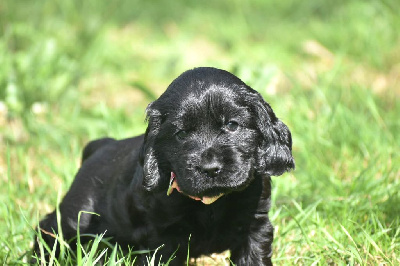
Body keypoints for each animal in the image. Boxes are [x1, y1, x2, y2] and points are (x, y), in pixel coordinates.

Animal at [32, 66, 296, 264]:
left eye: (232, 125)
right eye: (181, 134)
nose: (210, 168)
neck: (210, 204)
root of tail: (101, 145)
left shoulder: (254, 226)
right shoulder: (162, 237)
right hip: (78, 214)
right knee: (49, 229)